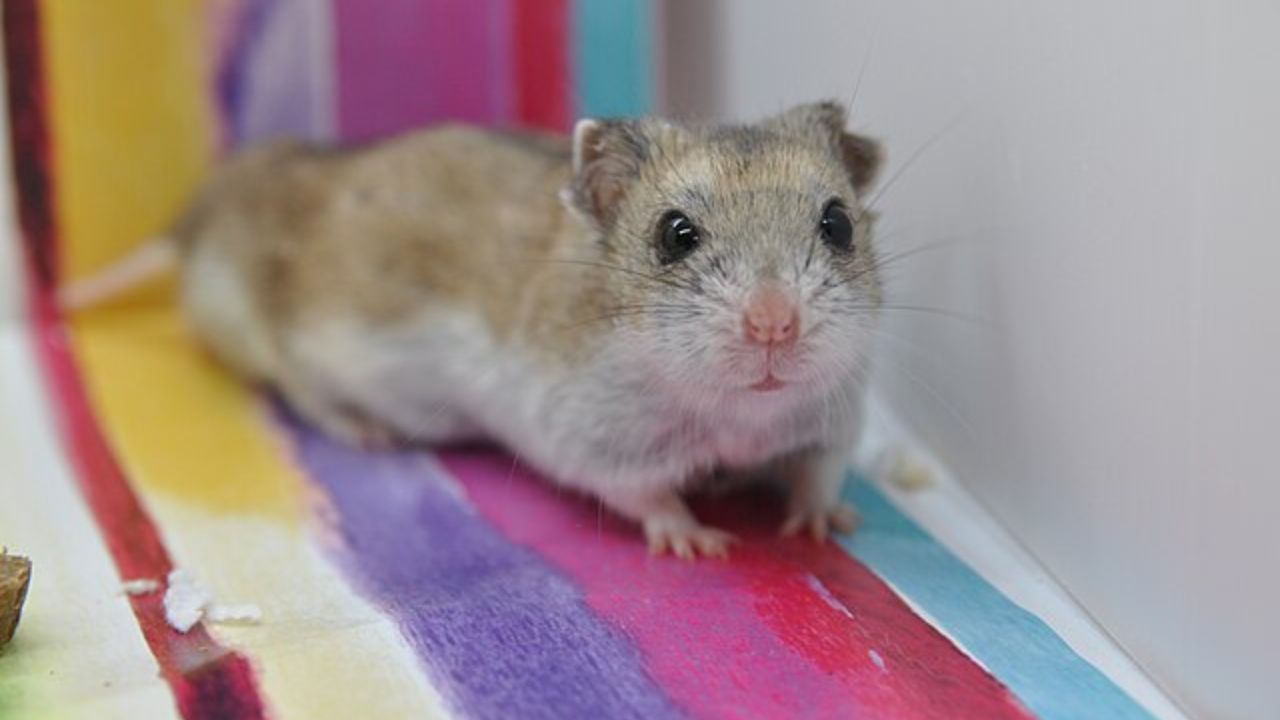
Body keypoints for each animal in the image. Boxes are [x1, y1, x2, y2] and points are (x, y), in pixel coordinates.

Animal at [67, 101, 885, 558]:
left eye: (838, 224)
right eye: (674, 234)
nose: (775, 325)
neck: (739, 416)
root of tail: (209, 212)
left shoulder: (833, 420)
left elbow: (817, 475)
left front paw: (825, 524)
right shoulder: (600, 446)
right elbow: (649, 499)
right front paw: (701, 542)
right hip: (288, 343)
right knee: (301, 390)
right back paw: (370, 433)